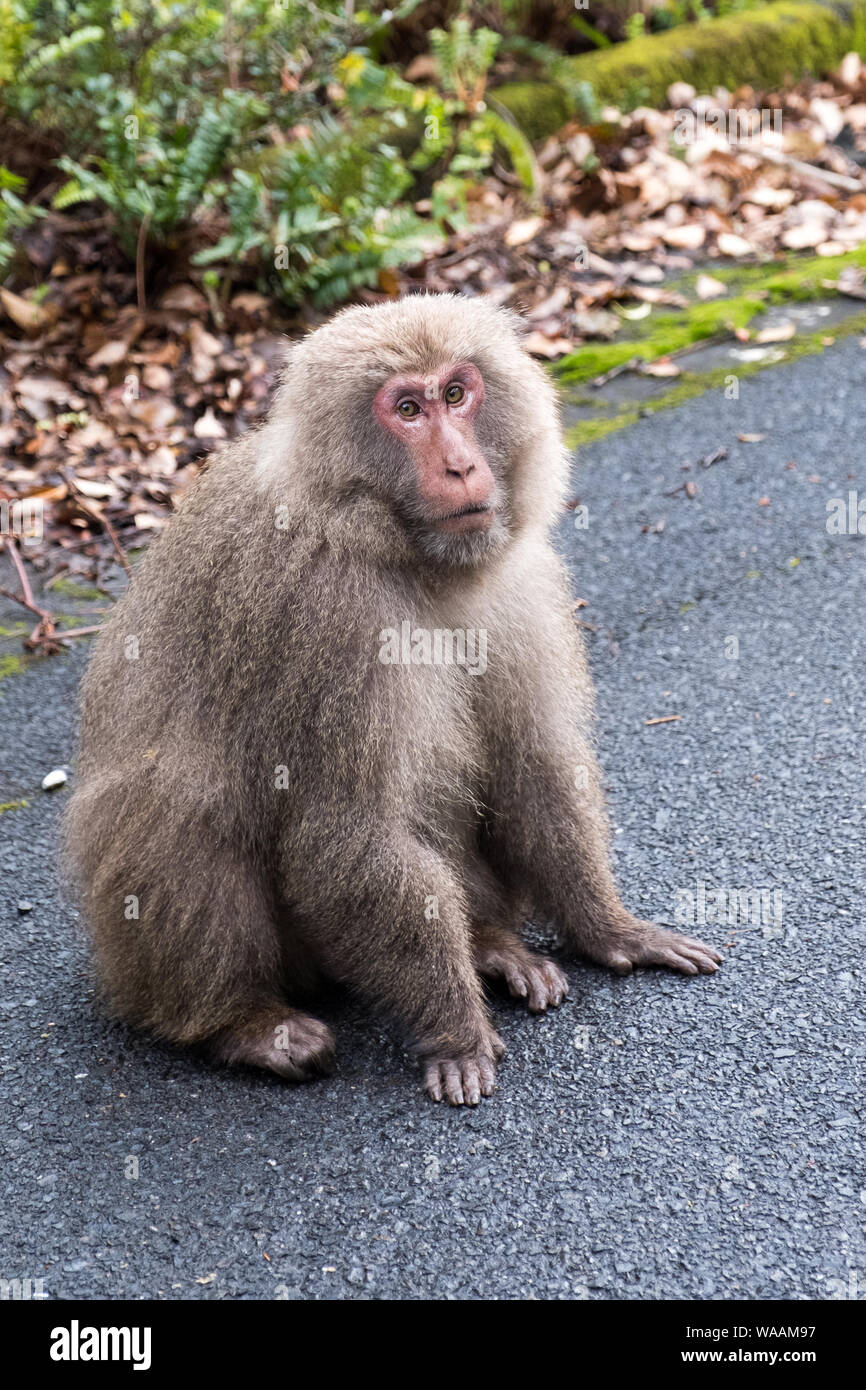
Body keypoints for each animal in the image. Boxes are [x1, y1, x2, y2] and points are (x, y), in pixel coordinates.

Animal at [64, 293, 722, 1106]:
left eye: (456, 394)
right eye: (406, 409)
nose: (460, 464)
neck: (399, 551)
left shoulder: (518, 579)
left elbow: (533, 763)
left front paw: (609, 929)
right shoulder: (330, 619)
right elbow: (345, 833)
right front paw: (456, 1031)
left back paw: (491, 945)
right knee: (180, 802)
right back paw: (242, 1022)